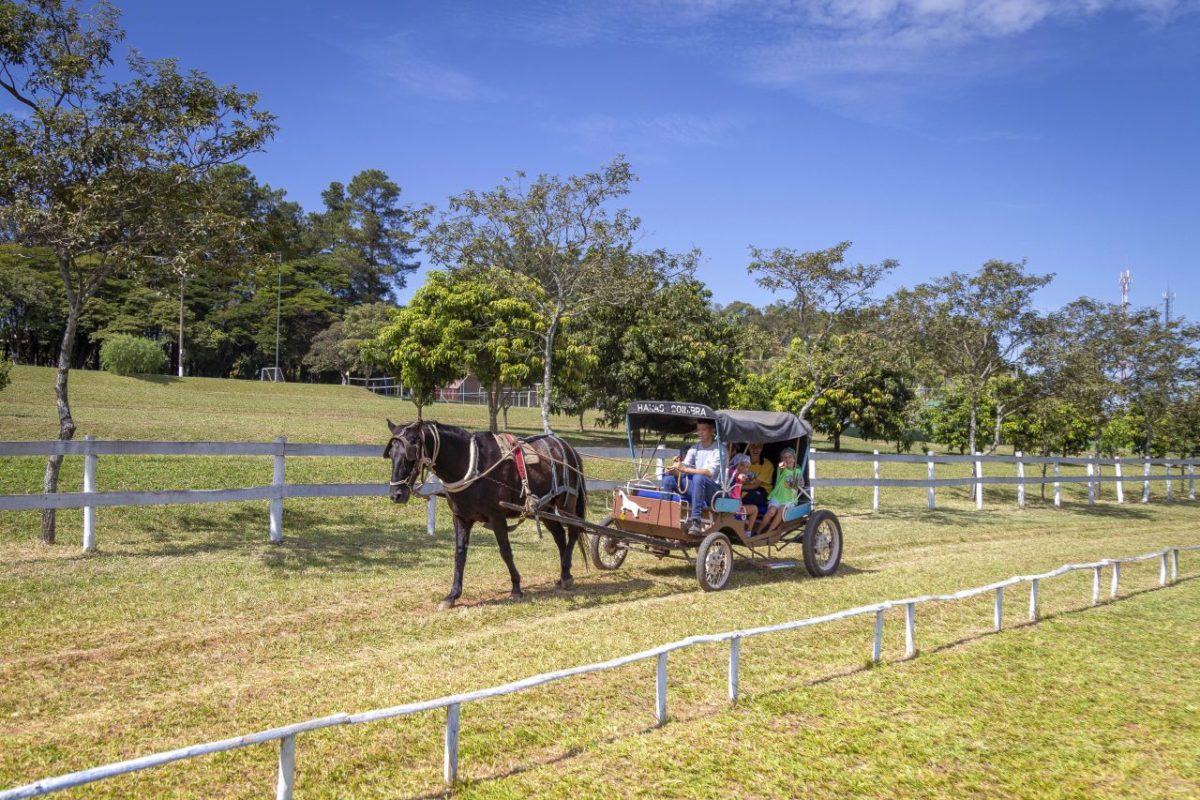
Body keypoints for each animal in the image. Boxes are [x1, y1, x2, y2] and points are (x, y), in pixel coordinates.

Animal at [384, 422, 590, 609]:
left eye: (409, 455)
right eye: (392, 455)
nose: (396, 495)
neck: (472, 463)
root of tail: (568, 447)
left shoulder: (497, 516)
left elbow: (505, 551)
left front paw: (516, 588)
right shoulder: (461, 518)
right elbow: (460, 554)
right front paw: (452, 595)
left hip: (566, 502)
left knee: (574, 529)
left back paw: (566, 573)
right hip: (546, 508)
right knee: (559, 535)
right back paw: (564, 574)